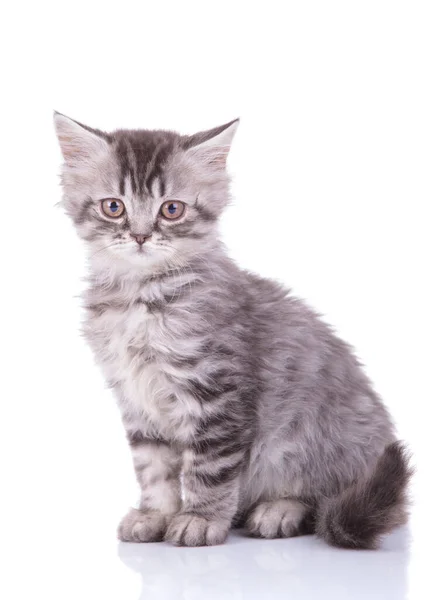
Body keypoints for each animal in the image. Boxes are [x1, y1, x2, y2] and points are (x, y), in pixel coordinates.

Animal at [54, 112, 412, 548]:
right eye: (113, 207)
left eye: (171, 209)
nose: (140, 235)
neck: (141, 297)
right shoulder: (137, 400)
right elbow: (153, 468)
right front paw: (157, 515)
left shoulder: (217, 394)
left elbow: (209, 468)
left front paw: (200, 519)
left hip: (313, 444)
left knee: (322, 500)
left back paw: (278, 511)